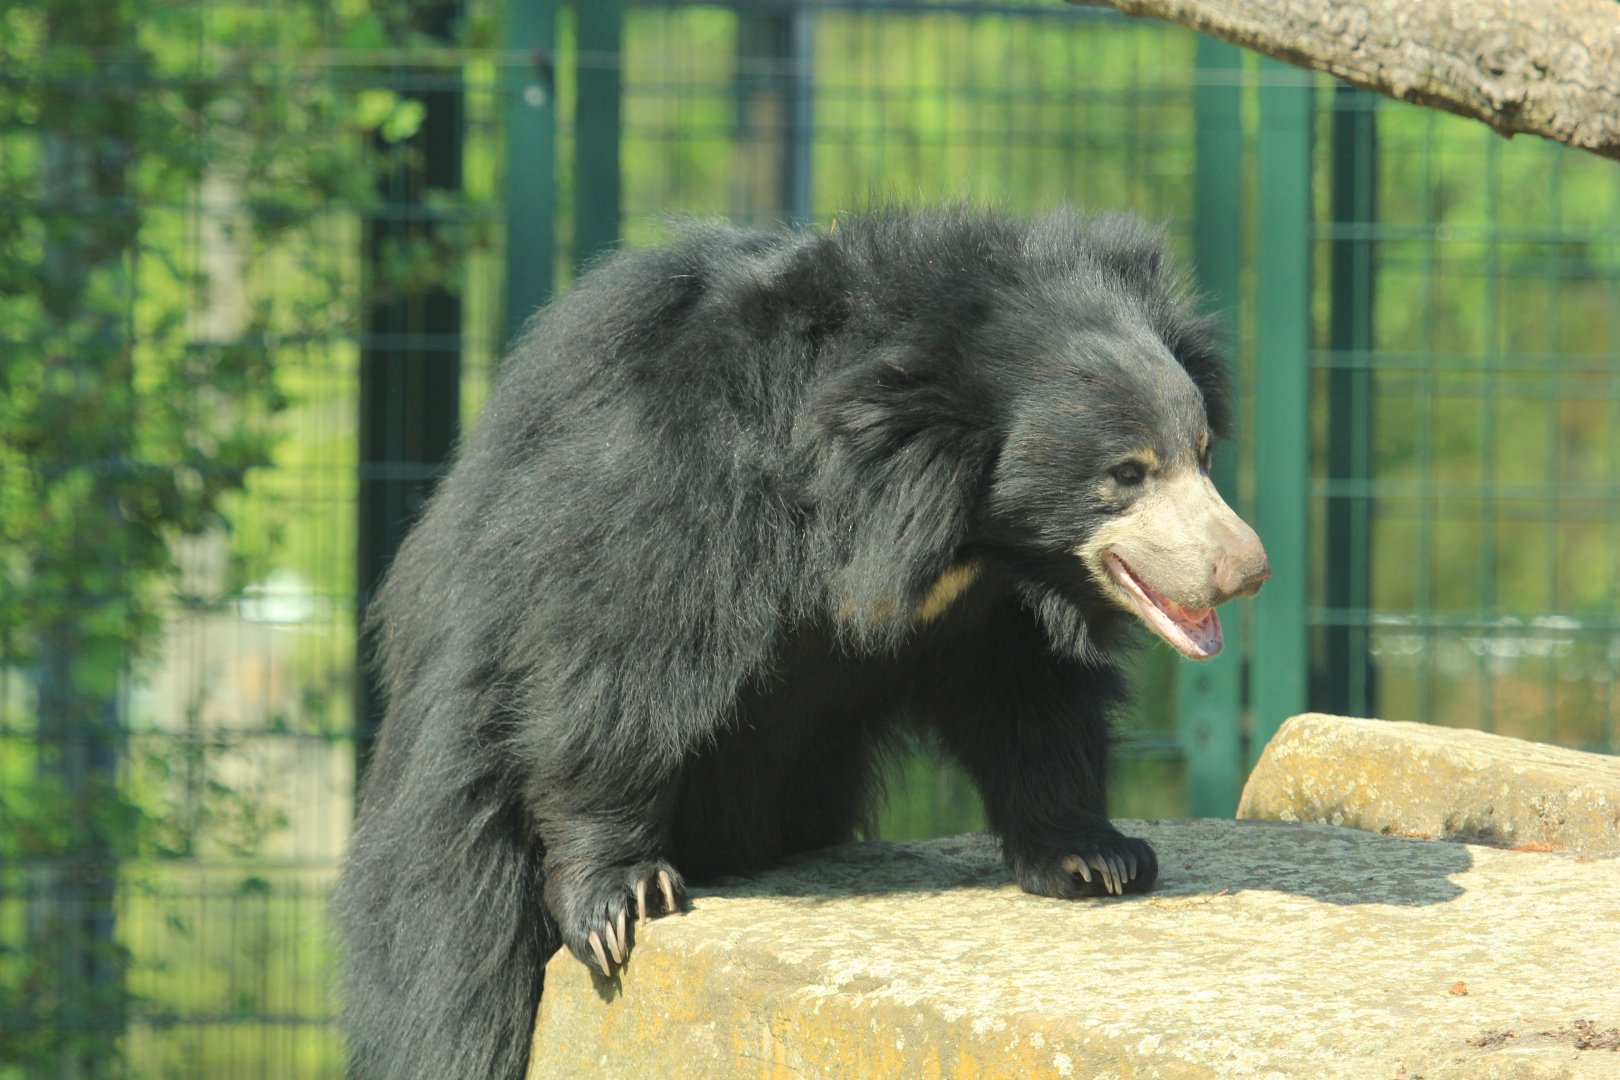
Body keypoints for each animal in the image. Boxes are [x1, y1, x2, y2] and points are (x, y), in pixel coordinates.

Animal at [334, 206, 1269, 1080]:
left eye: (1201, 452)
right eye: (1126, 474)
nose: (1245, 567)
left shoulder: (994, 605)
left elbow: (1028, 698)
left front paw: (1096, 856)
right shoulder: (683, 477)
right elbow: (614, 656)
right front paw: (619, 898)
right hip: (453, 804)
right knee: (451, 974)